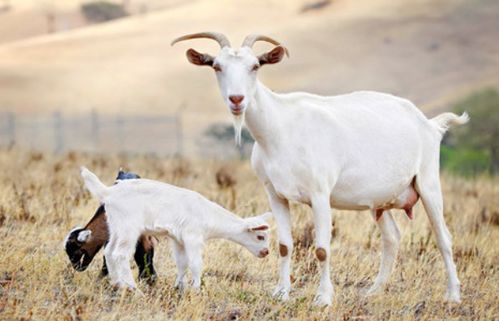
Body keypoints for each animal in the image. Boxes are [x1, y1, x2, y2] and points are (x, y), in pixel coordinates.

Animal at [172, 31, 468, 304]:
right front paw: (281, 293)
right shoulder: (275, 194)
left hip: (428, 182)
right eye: (217, 66)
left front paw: (323, 298)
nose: (237, 99)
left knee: (444, 237)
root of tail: (430, 124)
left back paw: (453, 295)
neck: (280, 128)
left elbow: (322, 249)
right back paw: (373, 291)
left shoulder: (320, 194)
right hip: (380, 201)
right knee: (392, 238)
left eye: (255, 65)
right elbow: (284, 245)